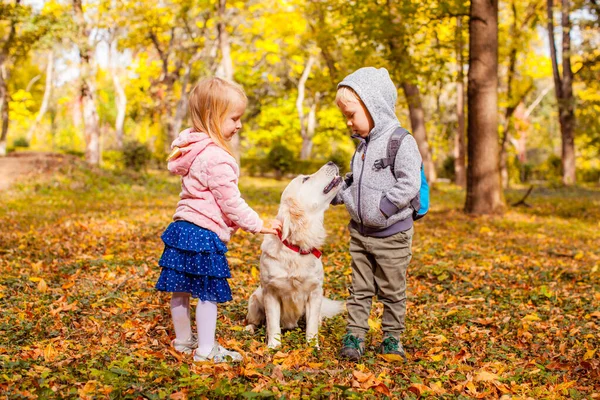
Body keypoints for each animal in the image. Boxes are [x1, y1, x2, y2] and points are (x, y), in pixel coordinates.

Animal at [245, 161, 346, 348]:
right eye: (305, 179)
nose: (331, 162)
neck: (297, 246)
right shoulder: (270, 292)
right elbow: (273, 324)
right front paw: (274, 346)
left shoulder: (315, 293)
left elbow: (312, 326)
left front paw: (312, 347)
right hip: (255, 298)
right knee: (255, 321)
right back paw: (249, 328)